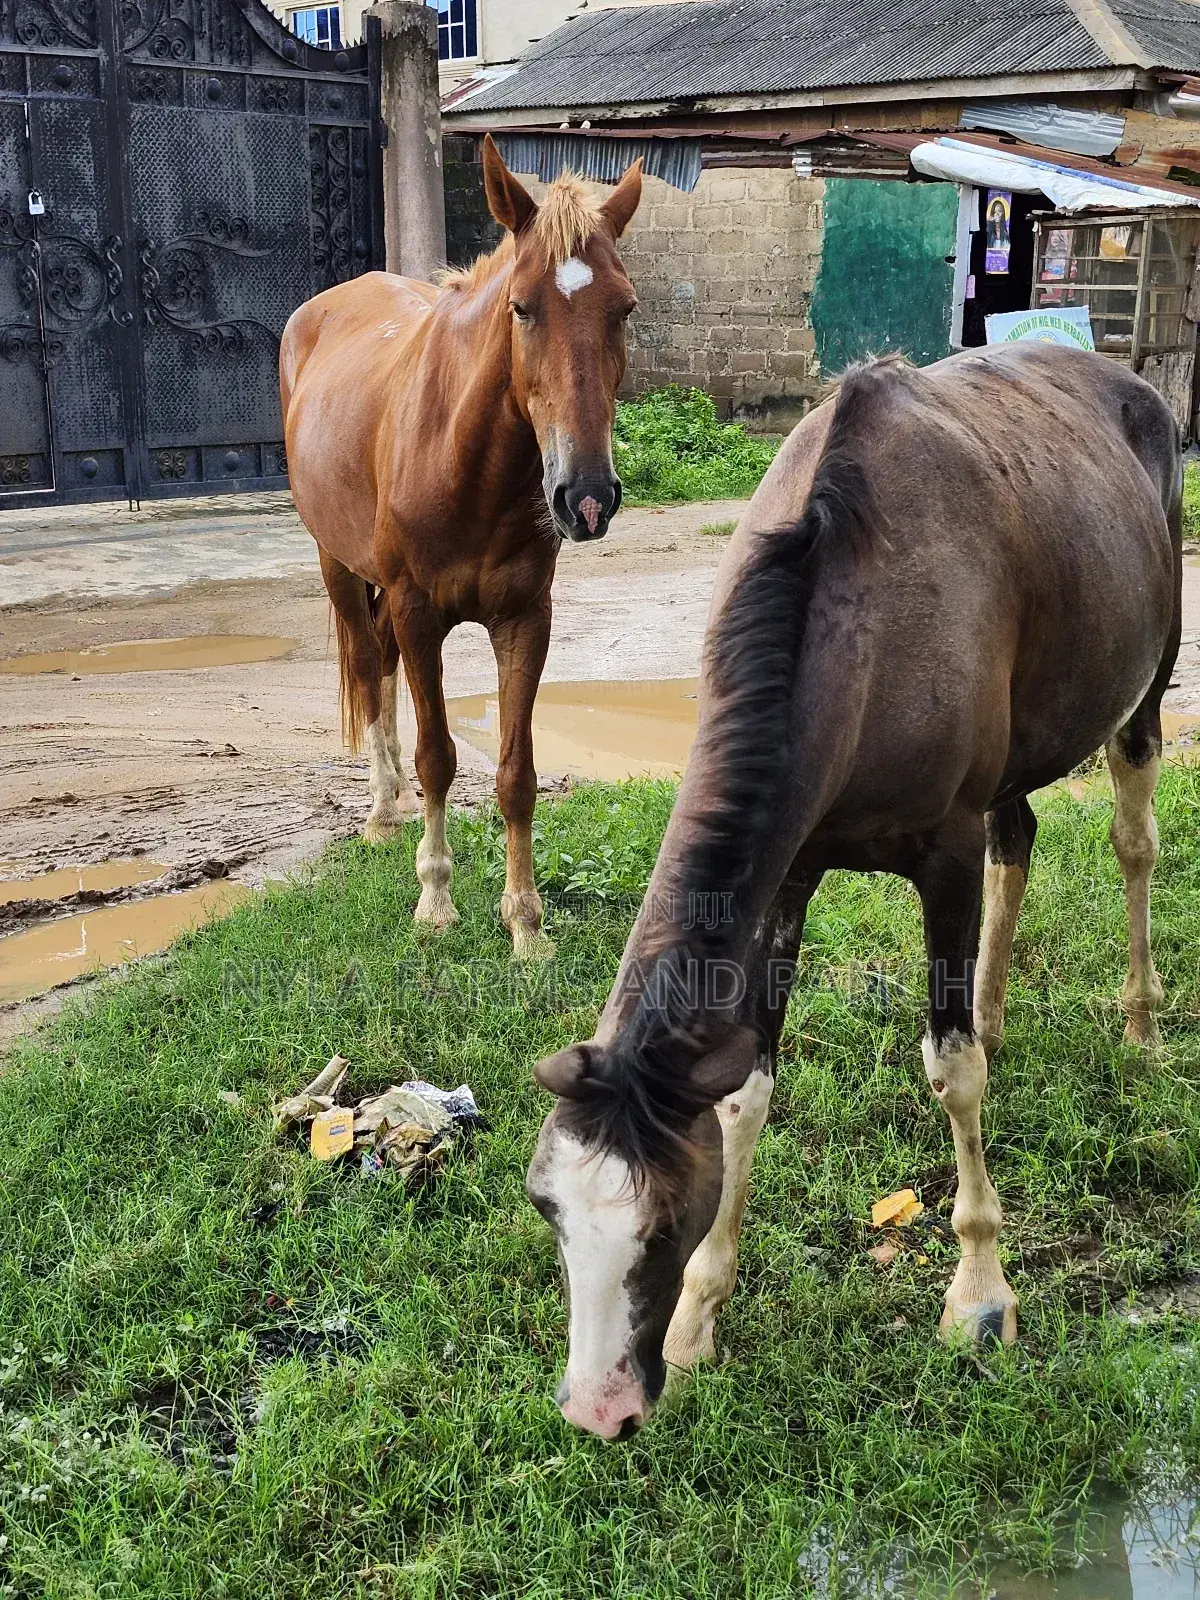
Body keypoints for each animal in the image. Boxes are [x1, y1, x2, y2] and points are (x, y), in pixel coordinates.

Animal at [280, 137, 642, 955]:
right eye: (521, 307)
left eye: (625, 308)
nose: (587, 497)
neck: (464, 462)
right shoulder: (419, 614)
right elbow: (438, 756)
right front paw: (436, 900)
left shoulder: (524, 619)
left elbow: (516, 774)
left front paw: (526, 925)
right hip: (338, 566)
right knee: (367, 665)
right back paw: (383, 810)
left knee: (379, 667)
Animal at [525, 343, 1183, 1439]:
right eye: (550, 1210)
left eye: (659, 1221)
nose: (597, 1411)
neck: (855, 605)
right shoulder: (789, 871)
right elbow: (746, 1089)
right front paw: (702, 1315)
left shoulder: (943, 853)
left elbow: (952, 1073)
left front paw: (980, 1292)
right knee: (1019, 838)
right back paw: (997, 1008)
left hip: (1146, 685)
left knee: (1133, 838)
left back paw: (1141, 1023)